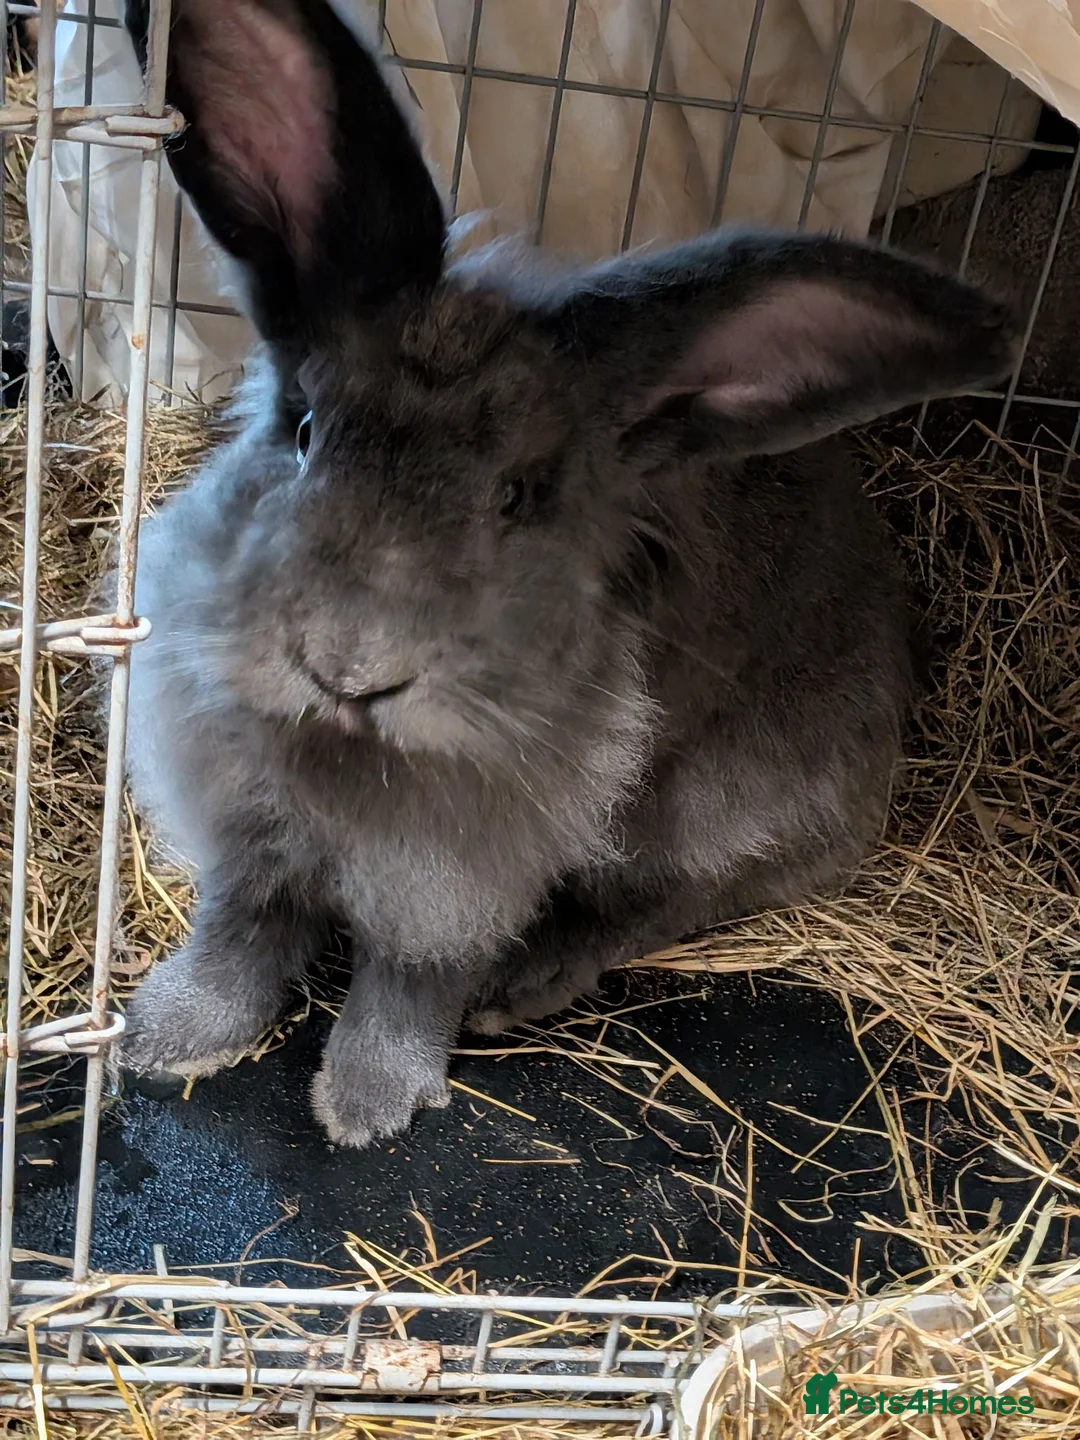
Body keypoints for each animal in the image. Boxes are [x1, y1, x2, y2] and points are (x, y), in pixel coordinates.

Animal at [117, 0, 1018, 1149]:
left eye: (518, 498)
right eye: (306, 428)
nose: (348, 668)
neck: (349, 760)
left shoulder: (462, 874)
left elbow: (411, 978)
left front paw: (367, 1106)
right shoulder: (247, 833)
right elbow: (241, 929)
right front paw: (169, 1036)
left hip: (720, 806)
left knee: (665, 899)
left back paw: (526, 982)